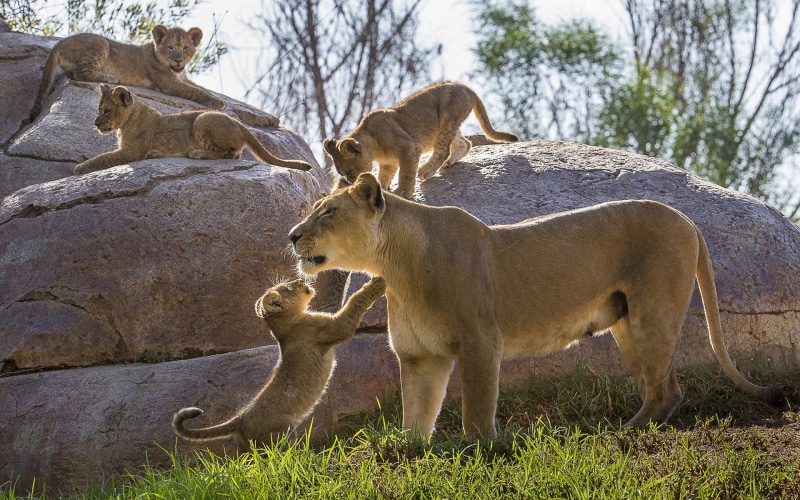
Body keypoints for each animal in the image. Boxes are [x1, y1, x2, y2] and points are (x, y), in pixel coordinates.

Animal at [30, 25, 227, 123]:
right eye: (170, 47)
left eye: (185, 48)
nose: (178, 60)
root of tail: (60, 42)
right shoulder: (168, 84)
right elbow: (196, 91)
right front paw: (218, 102)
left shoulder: (182, 77)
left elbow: (200, 87)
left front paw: (217, 97)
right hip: (102, 44)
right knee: (79, 73)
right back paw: (110, 77)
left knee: (72, 73)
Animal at [73, 85, 311, 175]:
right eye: (99, 109)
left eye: (106, 110)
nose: (95, 123)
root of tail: (242, 125)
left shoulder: (132, 152)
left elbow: (102, 158)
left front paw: (78, 168)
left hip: (202, 120)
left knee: (231, 155)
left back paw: (196, 153)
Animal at [173, 276, 387, 446]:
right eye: (289, 287)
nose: (301, 279)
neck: (285, 326)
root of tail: (240, 418)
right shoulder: (333, 328)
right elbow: (354, 300)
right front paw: (377, 284)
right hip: (283, 433)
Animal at [288, 173, 786, 440]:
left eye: (328, 212)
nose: (292, 235)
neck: (396, 269)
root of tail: (690, 221)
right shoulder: (419, 357)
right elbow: (417, 417)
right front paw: (409, 454)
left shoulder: (480, 341)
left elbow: (476, 409)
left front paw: (477, 450)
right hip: (627, 324)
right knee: (665, 384)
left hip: (654, 313)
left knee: (665, 390)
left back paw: (624, 432)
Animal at [323, 81, 519, 199]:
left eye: (349, 172)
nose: (349, 183)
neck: (374, 148)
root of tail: (464, 85)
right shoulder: (388, 163)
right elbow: (384, 177)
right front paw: (382, 190)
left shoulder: (409, 147)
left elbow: (406, 172)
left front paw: (402, 192)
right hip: (446, 125)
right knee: (466, 143)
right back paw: (448, 163)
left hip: (448, 112)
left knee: (443, 149)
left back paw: (427, 170)